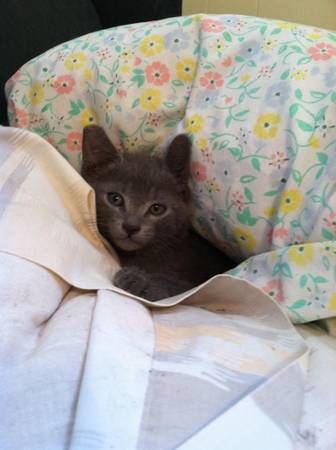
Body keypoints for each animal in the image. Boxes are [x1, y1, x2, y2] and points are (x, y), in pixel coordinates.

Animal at [81, 124, 234, 302]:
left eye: (156, 208)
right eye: (115, 198)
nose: (131, 226)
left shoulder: (195, 285)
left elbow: (180, 287)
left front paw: (137, 281)